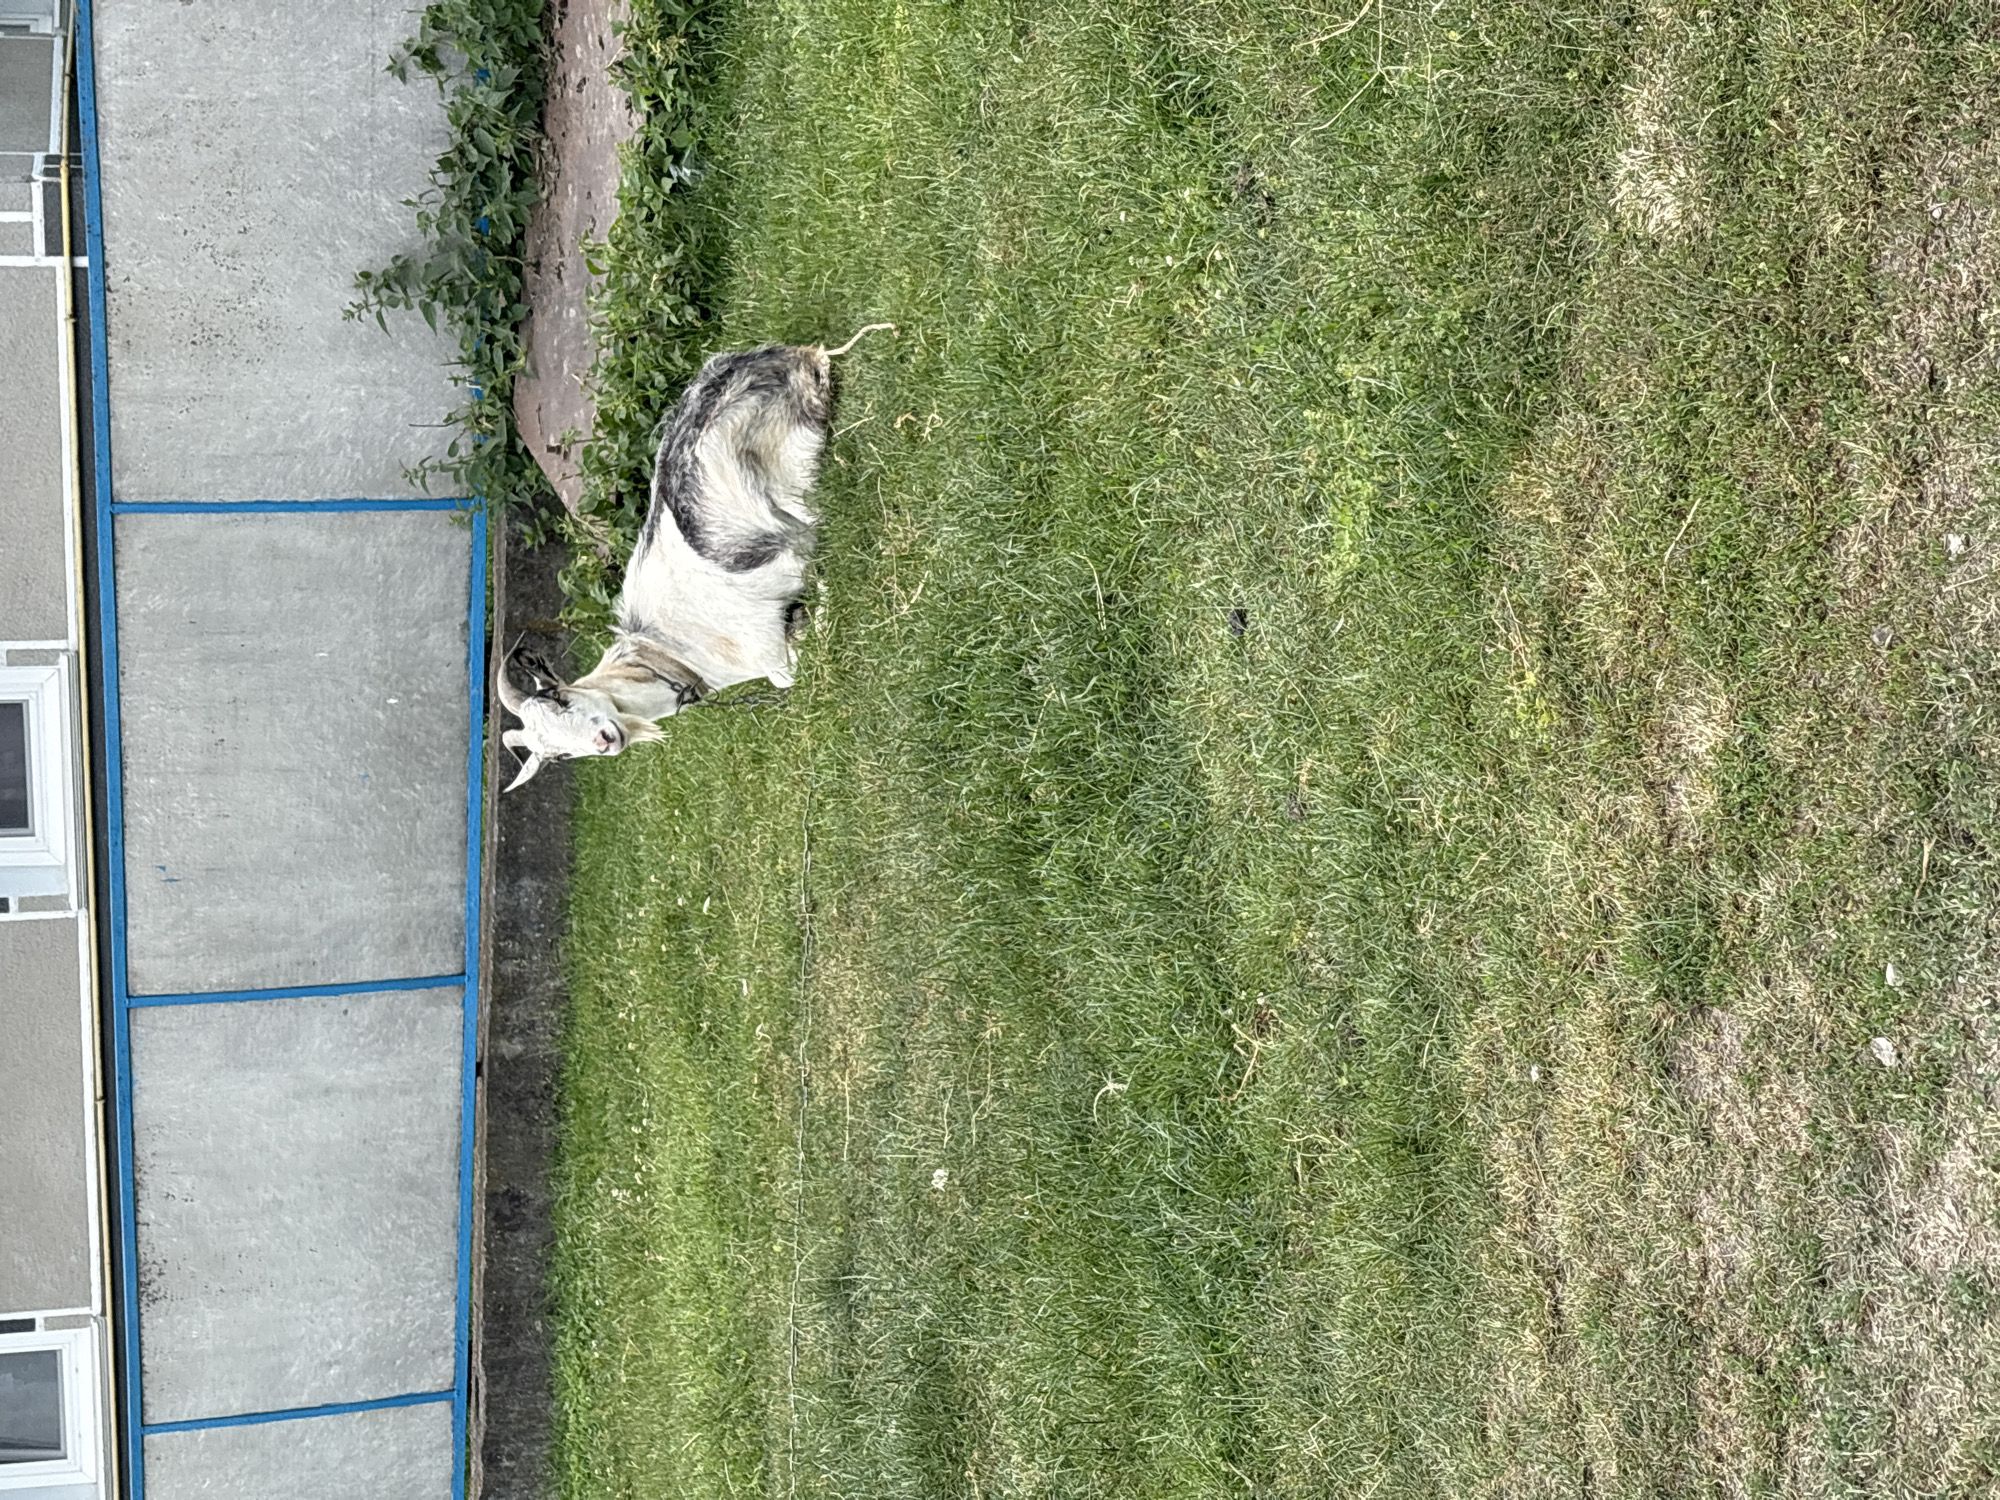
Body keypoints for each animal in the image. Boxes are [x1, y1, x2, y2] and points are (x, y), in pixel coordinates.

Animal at [497, 324, 893, 789]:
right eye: (557, 756)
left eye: (560, 698)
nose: (604, 741)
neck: (674, 652)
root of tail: (795, 357)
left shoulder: (767, 634)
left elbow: (792, 656)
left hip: (794, 476)